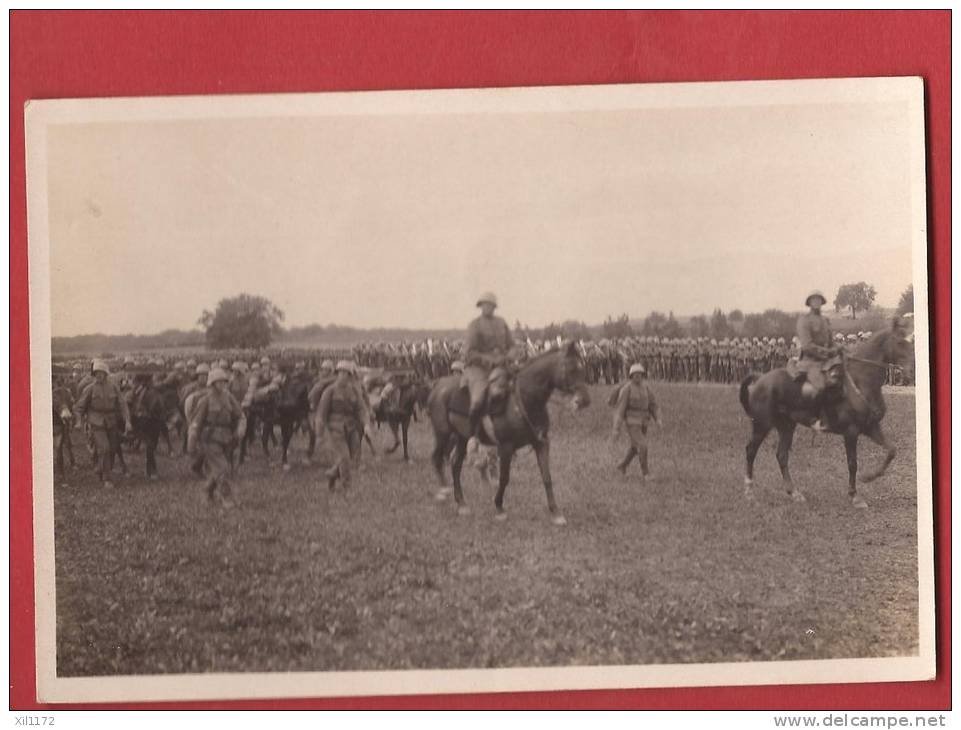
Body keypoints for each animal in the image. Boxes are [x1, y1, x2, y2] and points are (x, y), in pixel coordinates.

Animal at [430, 342, 592, 524]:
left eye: (582, 368)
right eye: (571, 369)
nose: (584, 400)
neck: (524, 401)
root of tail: (438, 385)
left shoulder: (541, 443)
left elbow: (547, 477)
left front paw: (556, 513)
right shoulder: (506, 448)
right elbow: (504, 478)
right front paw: (499, 508)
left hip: (462, 438)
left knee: (455, 465)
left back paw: (462, 504)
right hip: (443, 434)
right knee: (437, 458)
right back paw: (443, 492)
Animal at [740, 318, 912, 506]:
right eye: (900, 342)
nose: (911, 371)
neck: (861, 381)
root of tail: (760, 379)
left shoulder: (871, 427)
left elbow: (891, 451)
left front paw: (869, 477)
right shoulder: (851, 432)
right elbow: (852, 463)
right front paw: (854, 496)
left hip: (786, 426)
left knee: (781, 455)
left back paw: (794, 493)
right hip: (762, 425)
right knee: (751, 451)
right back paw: (749, 493)